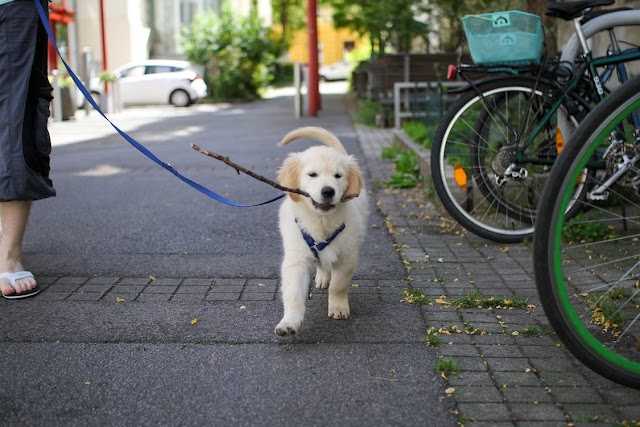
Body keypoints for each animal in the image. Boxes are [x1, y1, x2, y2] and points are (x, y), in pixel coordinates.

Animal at [272, 127, 368, 338]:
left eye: (338, 176)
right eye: (312, 174)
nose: (328, 191)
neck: (322, 221)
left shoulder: (346, 256)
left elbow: (339, 285)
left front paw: (338, 307)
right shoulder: (296, 259)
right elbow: (293, 294)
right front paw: (289, 322)